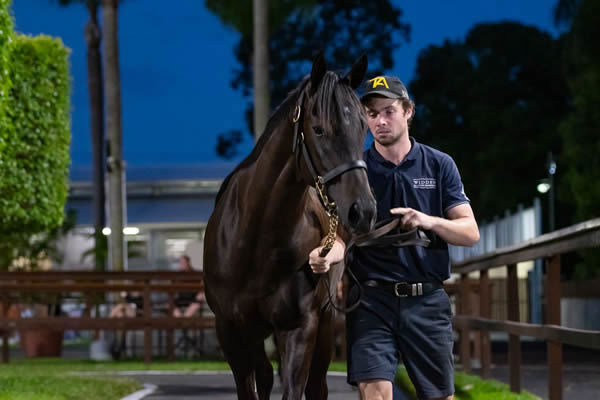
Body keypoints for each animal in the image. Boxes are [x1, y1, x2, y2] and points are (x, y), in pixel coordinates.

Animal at [204, 54, 378, 400]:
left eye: (363, 127)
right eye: (319, 130)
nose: (363, 211)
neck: (254, 241)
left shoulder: (300, 328)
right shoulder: (231, 332)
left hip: (325, 324)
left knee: (316, 385)